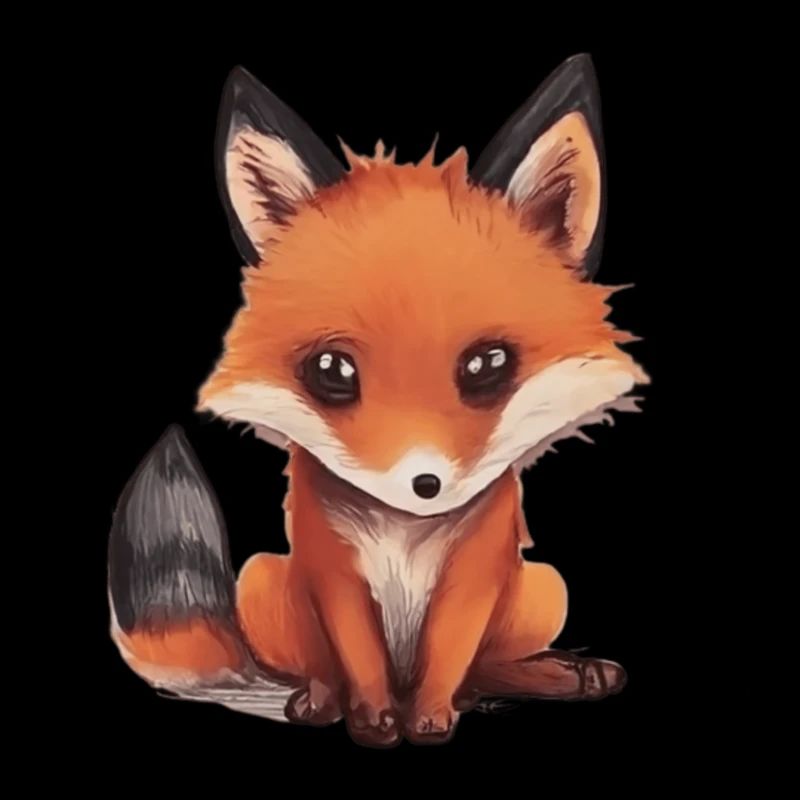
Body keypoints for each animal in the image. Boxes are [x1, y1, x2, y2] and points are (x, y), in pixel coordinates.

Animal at [108, 54, 649, 748]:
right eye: (331, 370)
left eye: (487, 365)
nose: (424, 485)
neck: (405, 534)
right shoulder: (333, 572)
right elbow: (359, 658)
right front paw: (373, 721)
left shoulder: (474, 574)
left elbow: (450, 656)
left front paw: (431, 719)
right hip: (260, 580)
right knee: (320, 666)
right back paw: (316, 699)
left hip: (546, 589)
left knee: (486, 669)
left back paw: (552, 676)